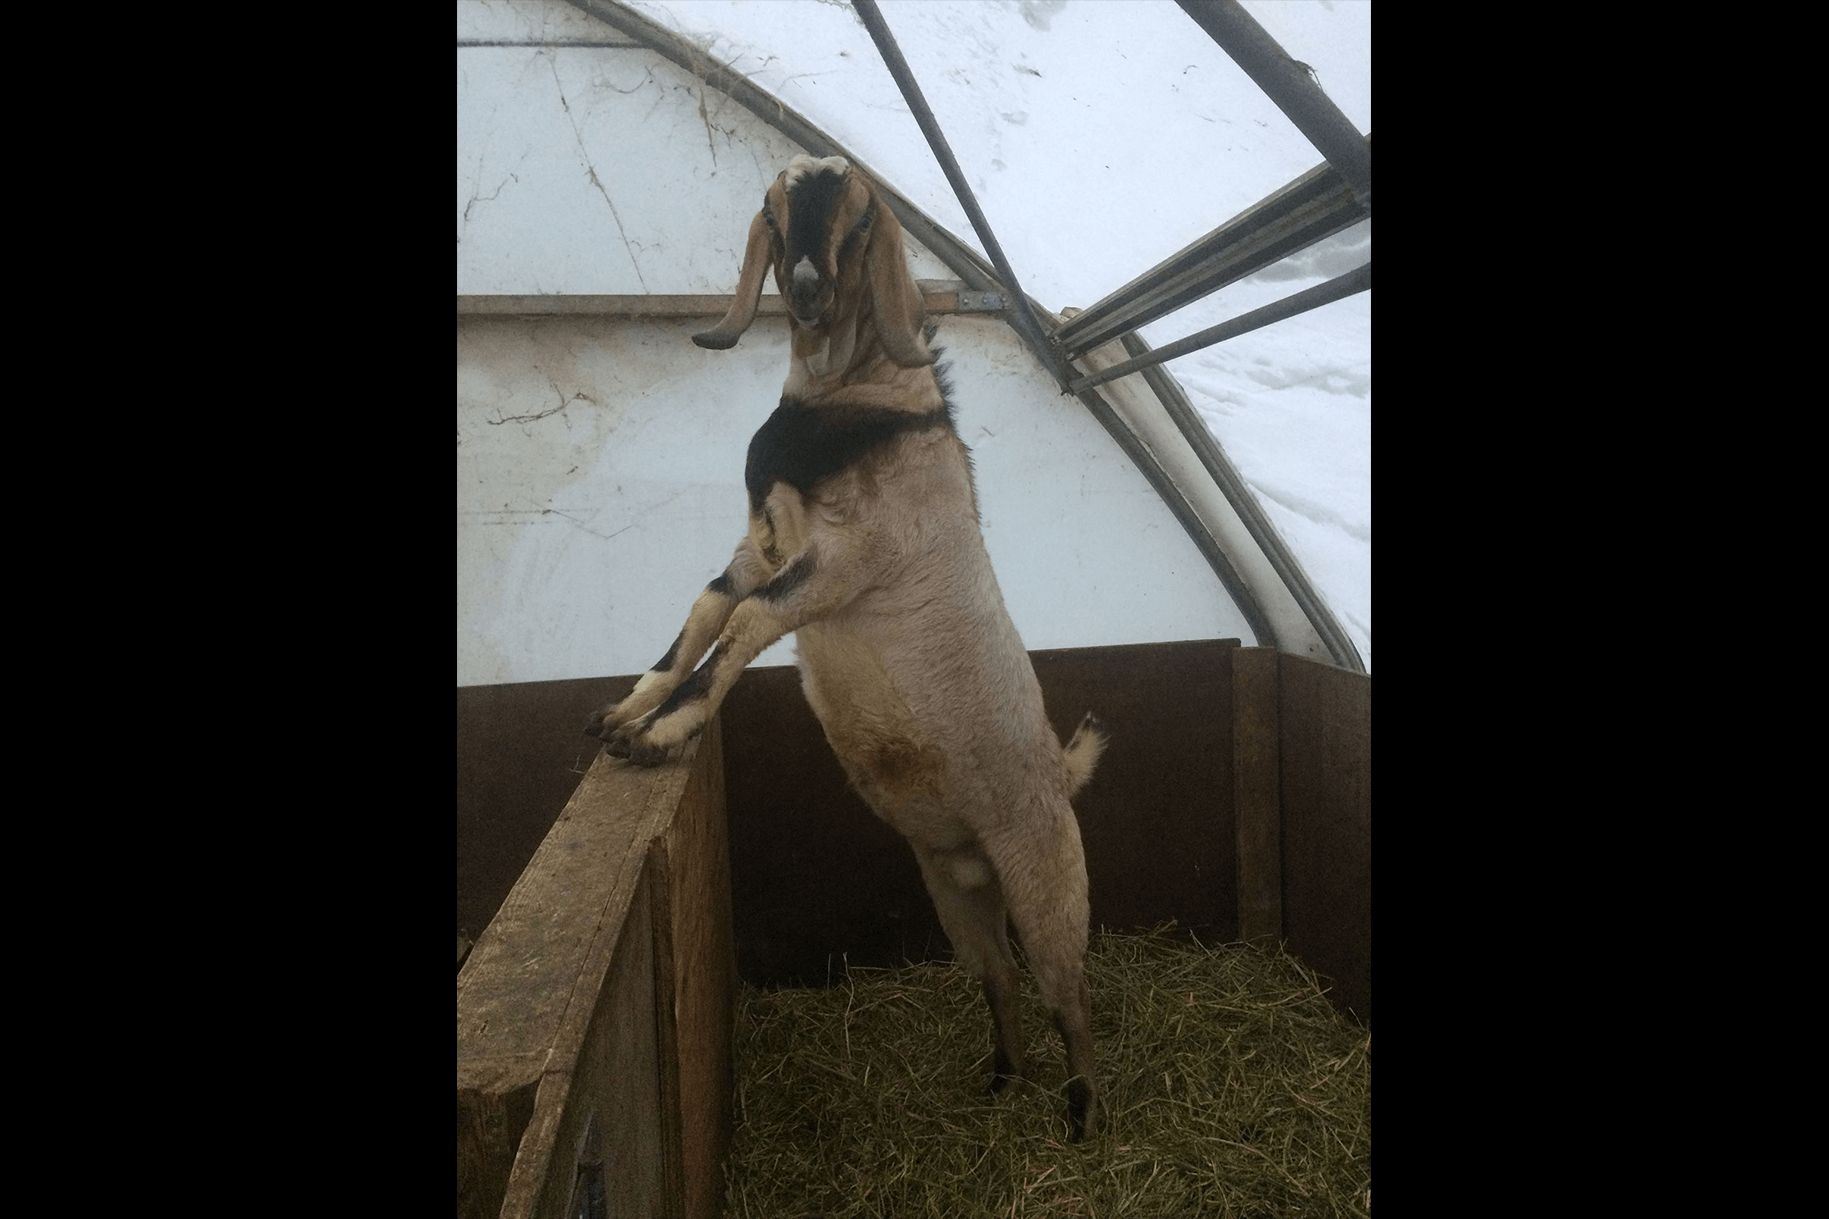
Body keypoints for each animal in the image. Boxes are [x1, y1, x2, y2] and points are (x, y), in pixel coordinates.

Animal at [585, 154, 1104, 1142]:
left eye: (860, 221)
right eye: (773, 209)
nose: (807, 287)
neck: (862, 401)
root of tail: (1060, 773)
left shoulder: (844, 562)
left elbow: (746, 627)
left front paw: (659, 735)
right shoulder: (759, 546)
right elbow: (705, 611)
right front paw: (626, 708)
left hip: (1048, 878)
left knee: (1072, 998)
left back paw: (1080, 1120)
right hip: (954, 888)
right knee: (1000, 978)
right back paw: (999, 1080)